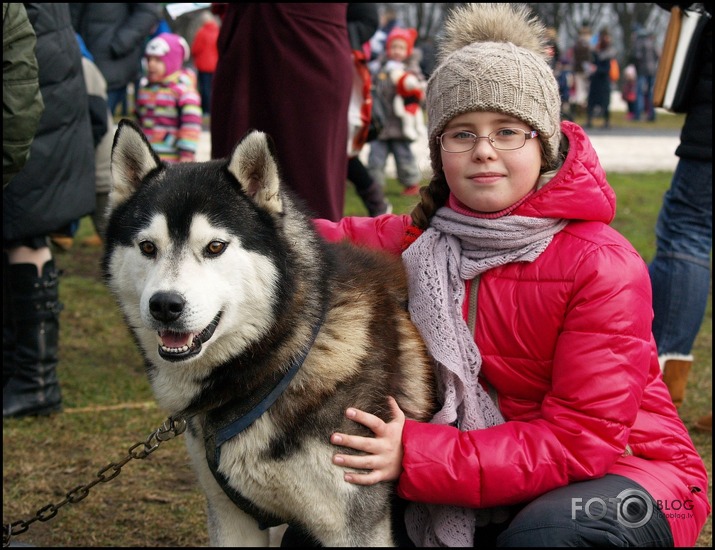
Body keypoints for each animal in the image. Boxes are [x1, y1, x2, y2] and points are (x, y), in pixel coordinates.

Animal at [100, 121, 436, 548]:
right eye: (147, 246)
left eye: (215, 247)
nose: (165, 305)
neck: (279, 363)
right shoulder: (231, 515)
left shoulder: (356, 529)